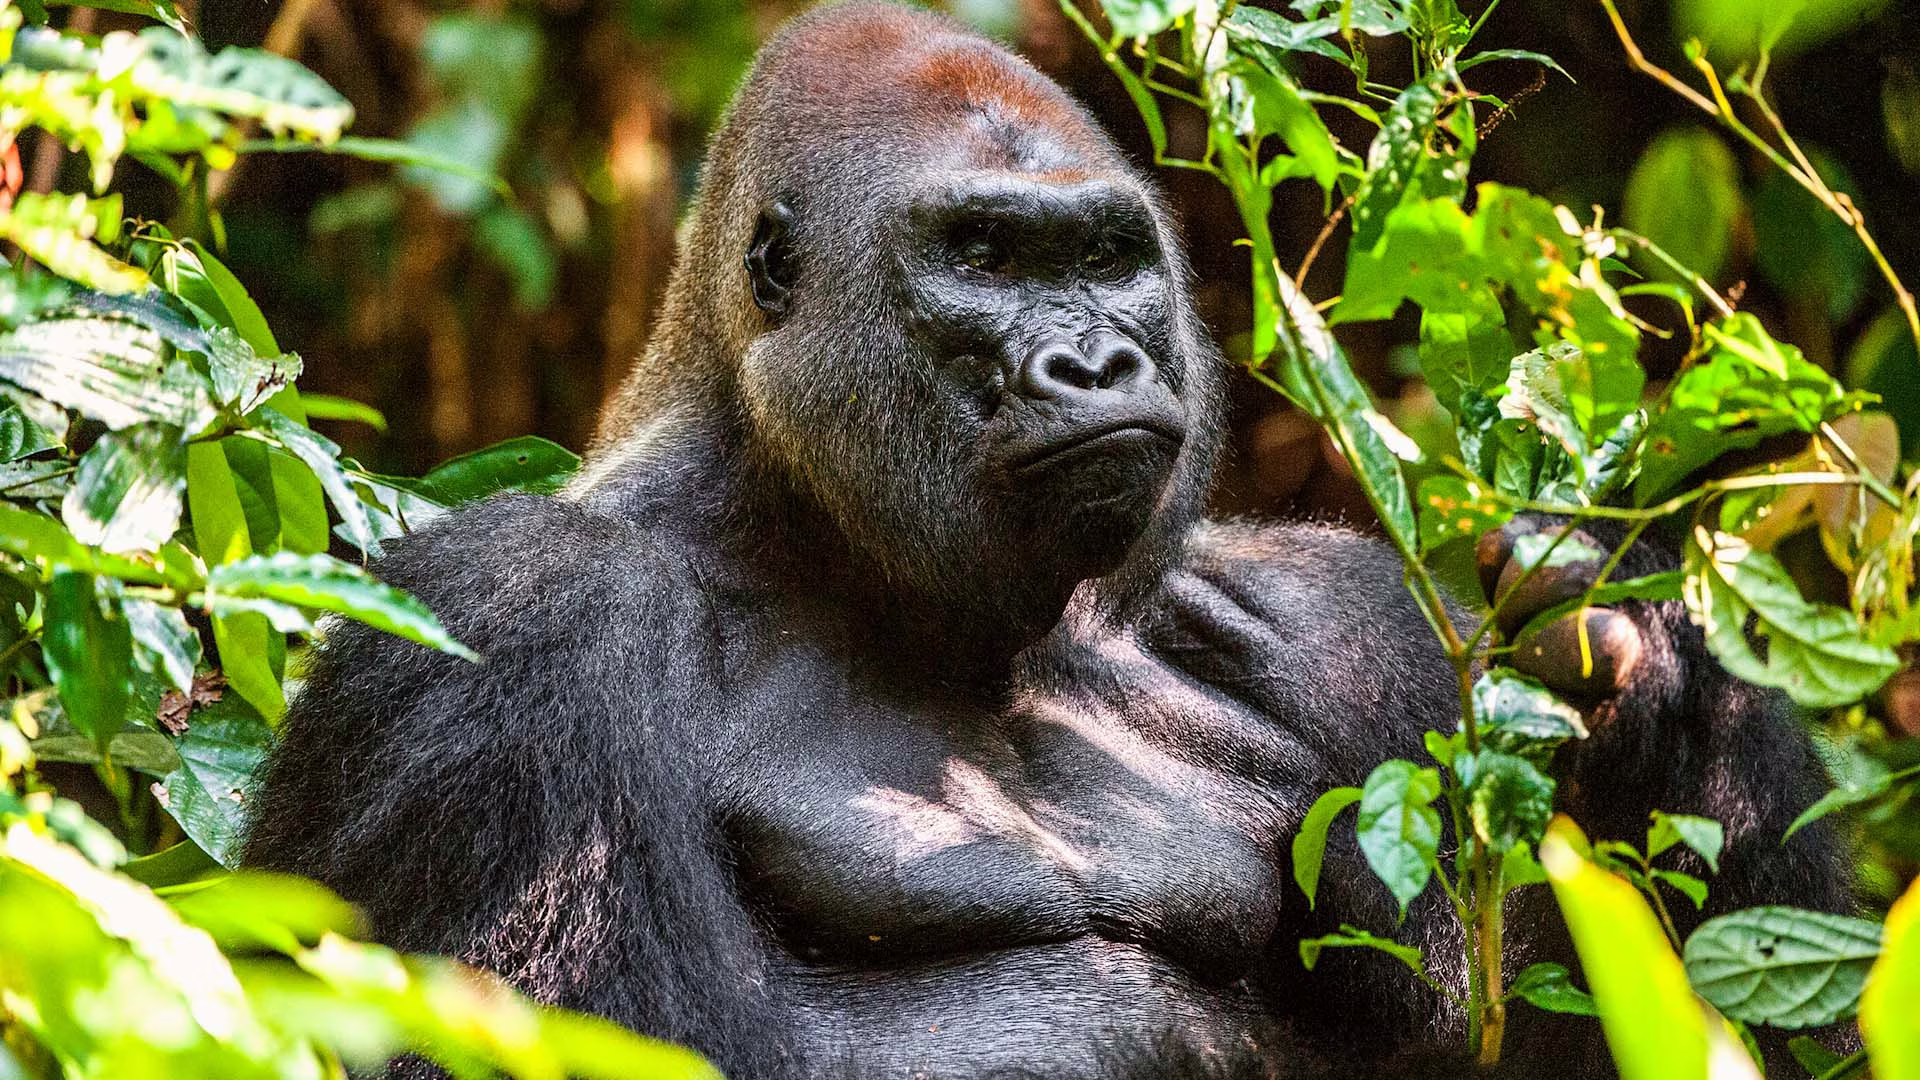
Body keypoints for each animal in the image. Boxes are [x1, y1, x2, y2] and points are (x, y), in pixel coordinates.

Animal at [245, 4, 1848, 1076]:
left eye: (1107, 259)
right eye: (984, 257)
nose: (1095, 363)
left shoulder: (1352, 628)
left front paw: (1652, 678)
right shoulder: (511, 611)